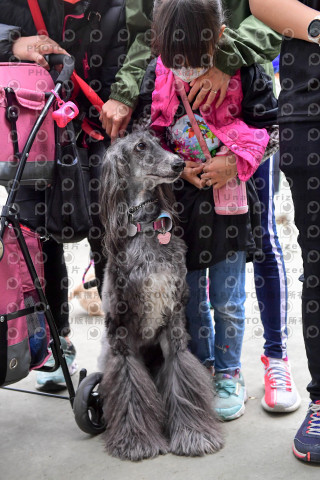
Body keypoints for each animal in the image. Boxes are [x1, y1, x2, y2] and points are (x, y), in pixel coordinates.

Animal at [99, 131, 222, 462]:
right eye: (140, 147)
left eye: (157, 139)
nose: (179, 163)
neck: (145, 229)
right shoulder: (121, 332)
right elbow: (128, 386)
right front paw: (135, 441)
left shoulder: (174, 320)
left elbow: (181, 373)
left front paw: (194, 434)